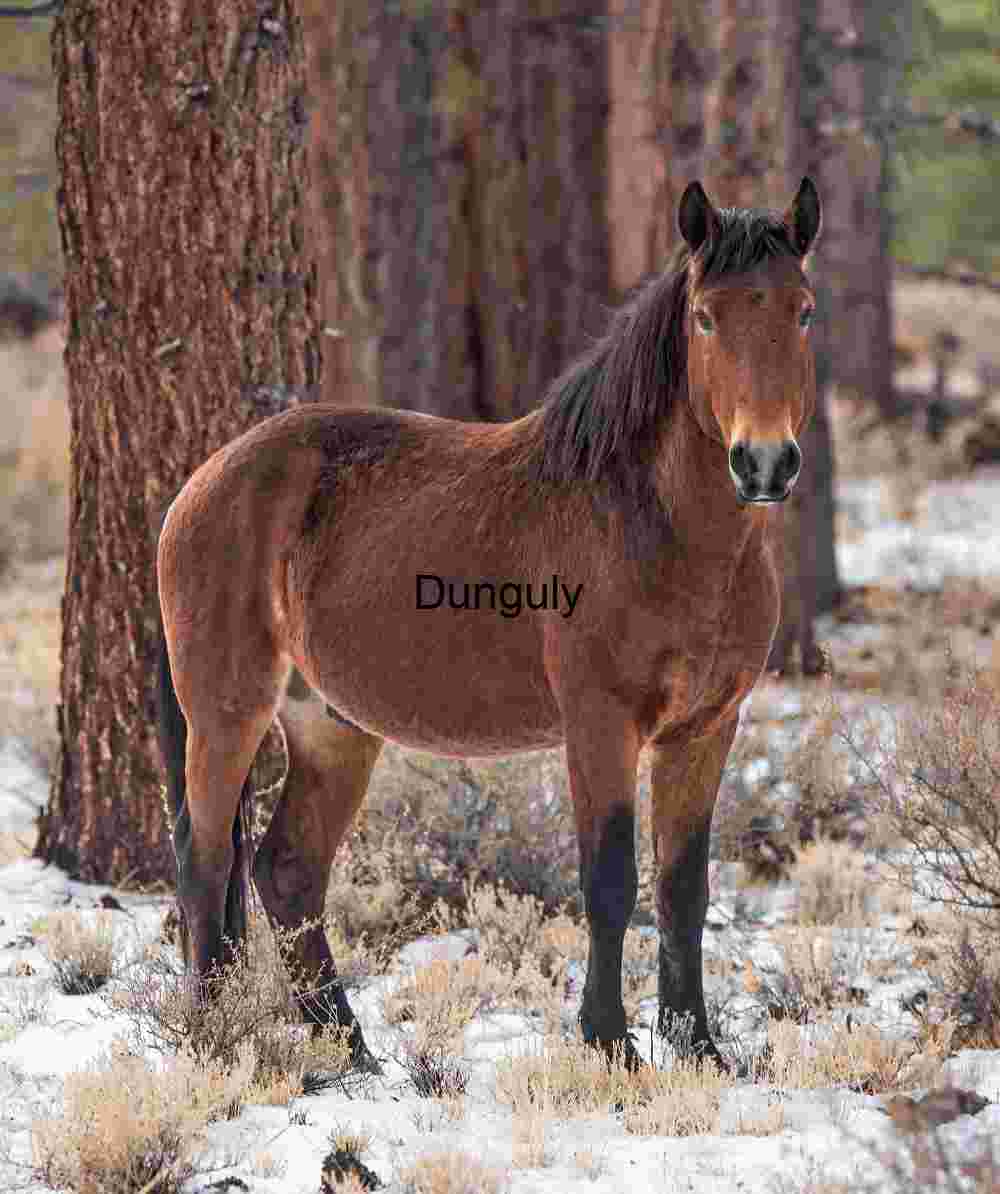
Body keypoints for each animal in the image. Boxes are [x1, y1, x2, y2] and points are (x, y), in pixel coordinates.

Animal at [156, 177, 821, 1071]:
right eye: (707, 318)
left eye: (803, 311)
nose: (764, 463)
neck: (660, 529)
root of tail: (204, 482)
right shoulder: (601, 725)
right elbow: (610, 882)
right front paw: (611, 1043)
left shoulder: (705, 730)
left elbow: (683, 889)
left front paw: (699, 1049)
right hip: (227, 713)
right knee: (202, 864)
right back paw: (214, 1040)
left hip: (332, 727)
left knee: (287, 872)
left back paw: (350, 1052)